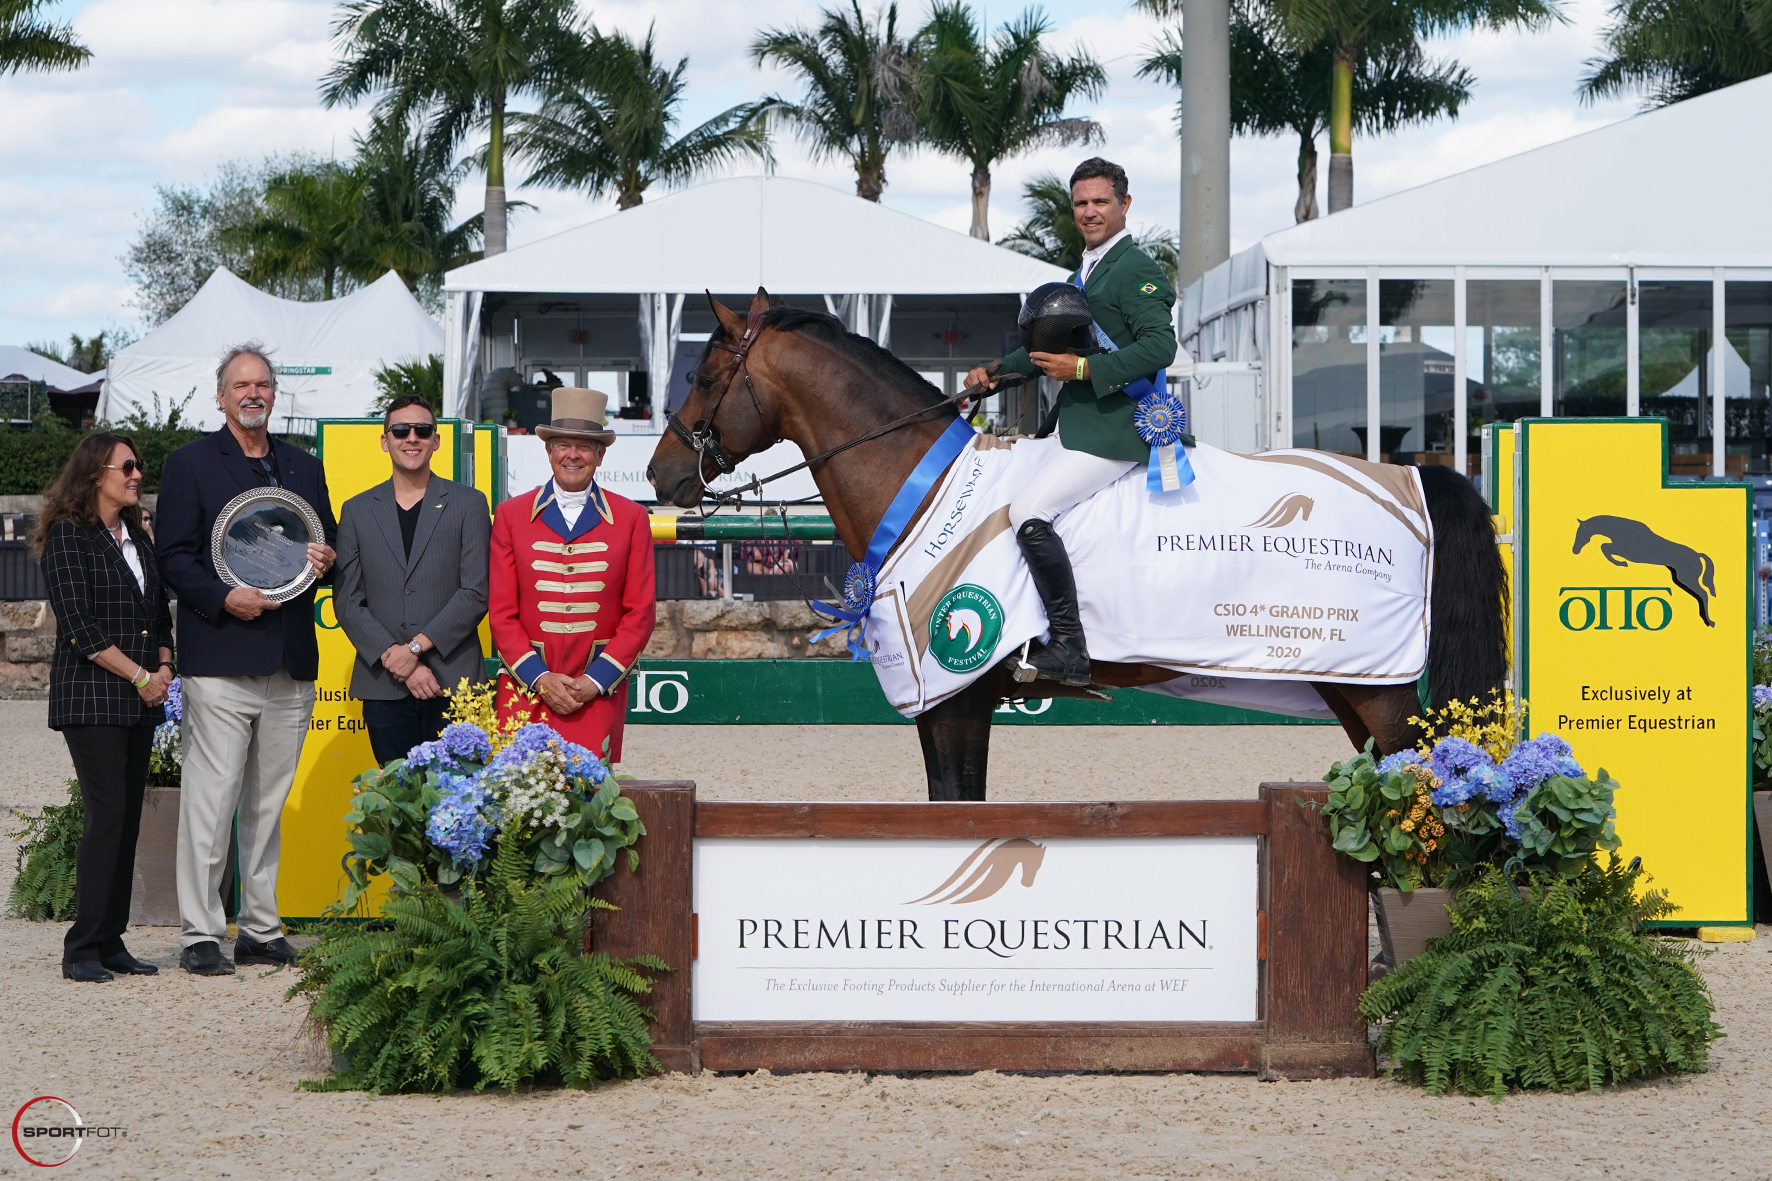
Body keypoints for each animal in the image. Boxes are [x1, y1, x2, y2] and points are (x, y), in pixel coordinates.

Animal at [645, 290, 1502, 801]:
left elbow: (957, 807)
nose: (660, 474)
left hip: (1380, 691)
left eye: (705, 373)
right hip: (1352, 685)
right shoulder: (945, 702)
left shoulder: (959, 695)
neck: (920, 479)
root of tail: (1413, 477)